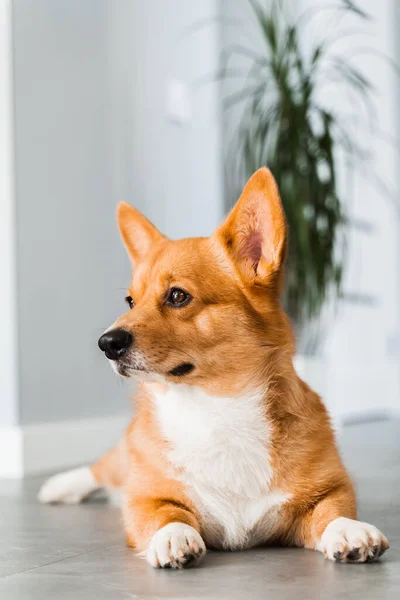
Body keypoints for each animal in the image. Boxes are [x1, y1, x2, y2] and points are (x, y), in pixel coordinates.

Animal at [39, 168, 390, 568]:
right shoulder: (146, 498)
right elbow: (165, 513)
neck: (215, 406)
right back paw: (58, 486)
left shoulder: (330, 488)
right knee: (101, 468)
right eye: (130, 301)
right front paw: (173, 537)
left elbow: (333, 510)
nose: (106, 343)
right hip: (124, 457)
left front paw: (350, 531)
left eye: (178, 296)